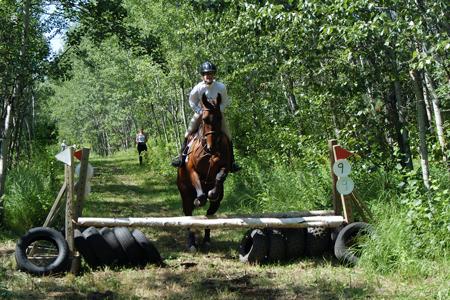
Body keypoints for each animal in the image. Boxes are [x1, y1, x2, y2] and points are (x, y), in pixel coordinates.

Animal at [176, 92, 232, 251]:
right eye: (205, 119)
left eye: (219, 117)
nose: (212, 147)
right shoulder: (192, 170)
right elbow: (198, 185)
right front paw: (200, 199)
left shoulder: (225, 165)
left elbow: (220, 175)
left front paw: (212, 192)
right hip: (185, 194)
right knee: (188, 215)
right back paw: (191, 243)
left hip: (216, 204)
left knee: (209, 215)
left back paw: (206, 240)